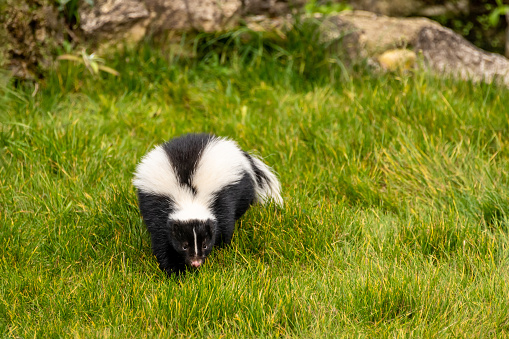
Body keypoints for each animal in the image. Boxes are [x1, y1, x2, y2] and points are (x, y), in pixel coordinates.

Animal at [132, 133, 282, 276]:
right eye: (184, 246)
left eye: (204, 245)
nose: (196, 263)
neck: (190, 197)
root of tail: (238, 153)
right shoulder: (158, 207)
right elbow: (162, 241)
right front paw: (174, 271)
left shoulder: (222, 198)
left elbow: (225, 226)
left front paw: (221, 250)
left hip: (242, 187)